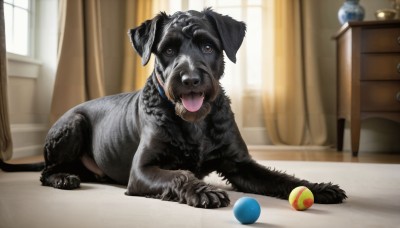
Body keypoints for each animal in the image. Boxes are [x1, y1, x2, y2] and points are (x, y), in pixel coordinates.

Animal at [31, 8, 346, 208]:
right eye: (168, 50)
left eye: (208, 47)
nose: (191, 79)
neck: (196, 123)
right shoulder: (142, 170)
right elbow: (180, 175)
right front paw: (204, 191)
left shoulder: (240, 163)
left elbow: (279, 177)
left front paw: (318, 188)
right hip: (73, 125)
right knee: (45, 173)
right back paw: (64, 178)